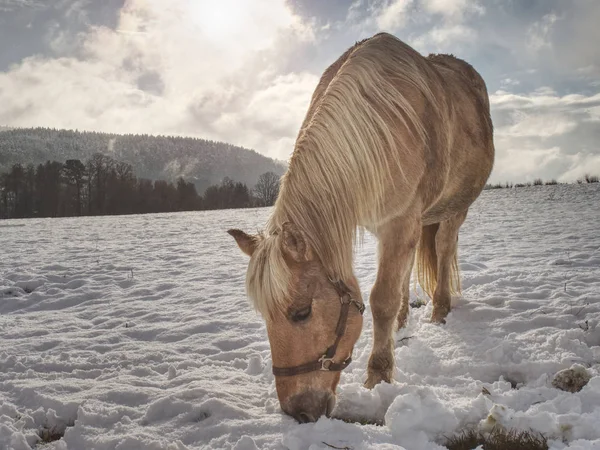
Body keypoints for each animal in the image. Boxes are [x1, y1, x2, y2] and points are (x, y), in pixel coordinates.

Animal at [227, 33, 494, 424]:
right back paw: (403, 323)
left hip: (456, 208)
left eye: (301, 313)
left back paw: (440, 309)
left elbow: (381, 299)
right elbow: (393, 285)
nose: (297, 412)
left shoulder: (399, 222)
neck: (383, 125)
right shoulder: (393, 225)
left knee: (444, 248)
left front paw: (378, 376)